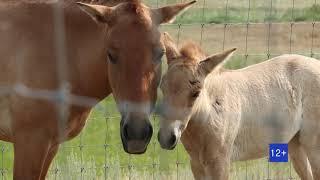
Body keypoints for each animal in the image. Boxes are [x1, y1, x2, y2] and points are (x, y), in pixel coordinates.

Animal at [0, 0, 195, 179]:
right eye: (111, 54)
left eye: (160, 53)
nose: (136, 134)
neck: (59, 51)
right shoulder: (31, 143)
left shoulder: (50, 146)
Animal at [159, 32, 318, 180]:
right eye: (162, 87)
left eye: (196, 93)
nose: (167, 138)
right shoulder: (197, 164)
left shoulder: (220, 163)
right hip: (295, 143)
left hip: (313, 144)